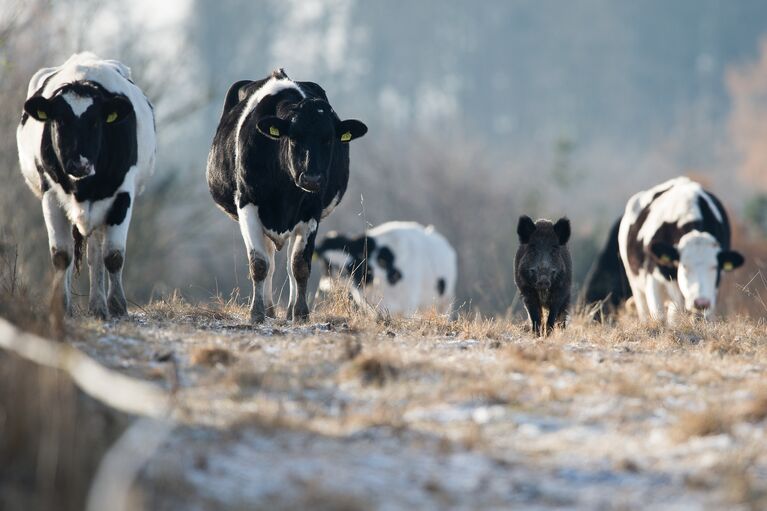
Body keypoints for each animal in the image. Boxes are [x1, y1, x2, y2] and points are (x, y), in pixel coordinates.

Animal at [16, 52, 157, 318]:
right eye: (59, 121)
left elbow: (113, 256)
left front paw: (117, 306)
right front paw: (61, 306)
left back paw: (99, 305)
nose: (78, 164)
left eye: (95, 122)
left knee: (96, 255)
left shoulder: (123, 195)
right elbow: (62, 255)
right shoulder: (50, 195)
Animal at [207, 69, 368, 322]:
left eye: (329, 139)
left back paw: (288, 310)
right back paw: (269, 309)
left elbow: (299, 265)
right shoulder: (247, 204)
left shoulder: (311, 210)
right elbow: (259, 264)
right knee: (270, 262)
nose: (312, 179)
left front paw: (300, 313)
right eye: (293, 137)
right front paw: (257, 313)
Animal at [616, 176, 744, 324]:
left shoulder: (712, 289)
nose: (701, 302)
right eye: (684, 266)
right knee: (644, 310)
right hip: (635, 283)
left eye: (715, 267)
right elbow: (659, 316)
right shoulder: (652, 279)